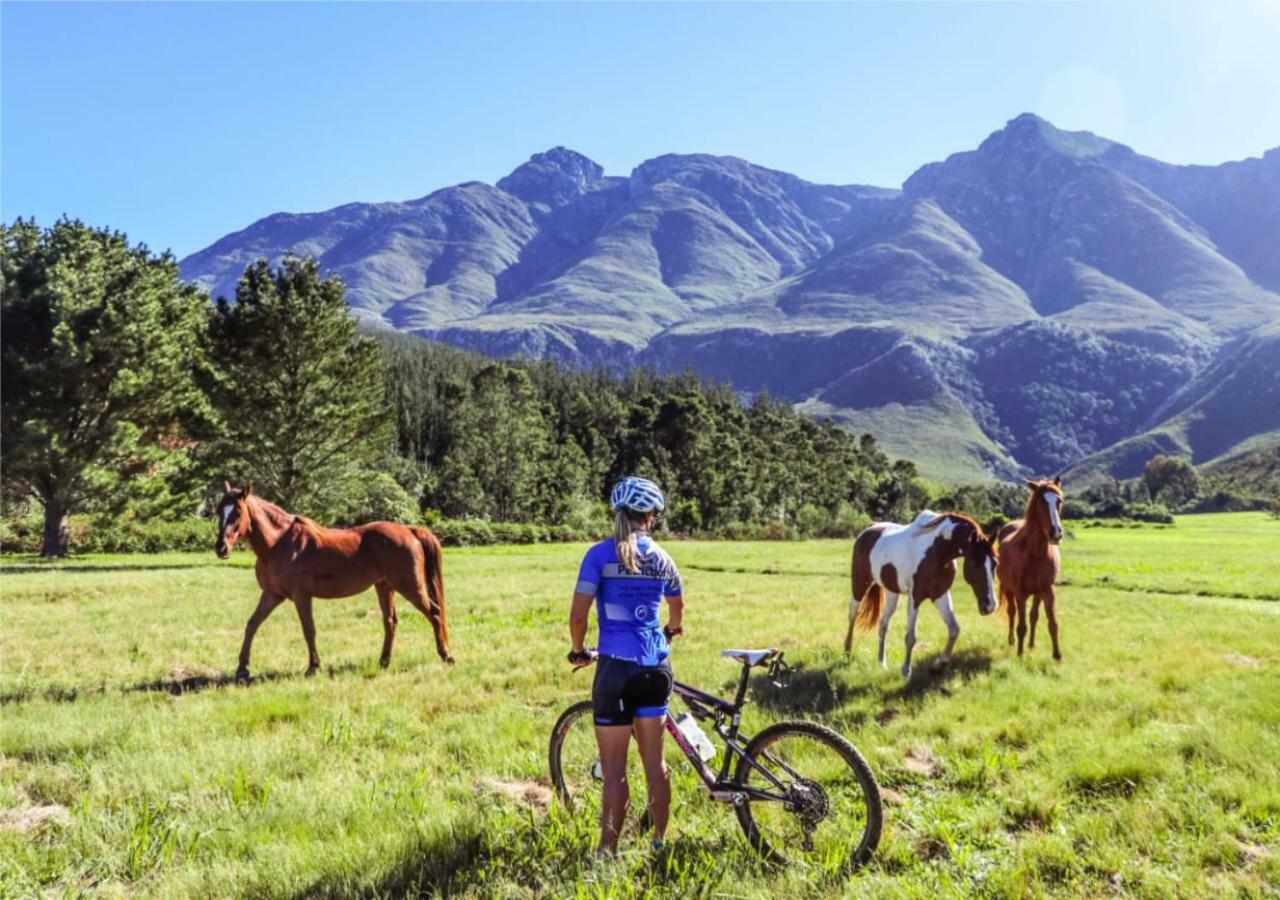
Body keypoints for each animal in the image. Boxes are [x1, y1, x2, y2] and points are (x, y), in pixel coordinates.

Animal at [217, 486, 458, 681]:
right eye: (219, 511)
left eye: (237, 512)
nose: (221, 548)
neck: (279, 543)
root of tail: (410, 531)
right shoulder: (272, 595)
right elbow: (252, 624)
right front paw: (242, 669)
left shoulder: (301, 596)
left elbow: (309, 630)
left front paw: (313, 667)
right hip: (384, 587)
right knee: (390, 621)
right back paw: (383, 662)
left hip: (410, 588)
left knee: (434, 613)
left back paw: (446, 655)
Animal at [844, 514, 1003, 675]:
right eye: (975, 563)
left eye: (995, 563)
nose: (990, 605)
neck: (938, 552)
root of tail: (869, 528)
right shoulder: (915, 597)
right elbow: (911, 637)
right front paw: (906, 670)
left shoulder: (940, 595)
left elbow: (954, 630)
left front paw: (938, 664)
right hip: (860, 584)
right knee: (853, 614)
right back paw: (847, 652)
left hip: (892, 593)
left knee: (883, 624)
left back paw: (882, 662)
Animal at [993, 478, 1064, 660]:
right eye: (1041, 502)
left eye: (1059, 501)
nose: (1056, 533)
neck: (1036, 553)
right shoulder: (1020, 594)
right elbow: (1021, 625)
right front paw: (1020, 654)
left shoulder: (1048, 591)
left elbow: (1052, 623)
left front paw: (1057, 656)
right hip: (1009, 590)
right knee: (1012, 613)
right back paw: (1012, 641)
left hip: (1037, 594)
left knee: (1033, 616)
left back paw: (1031, 644)